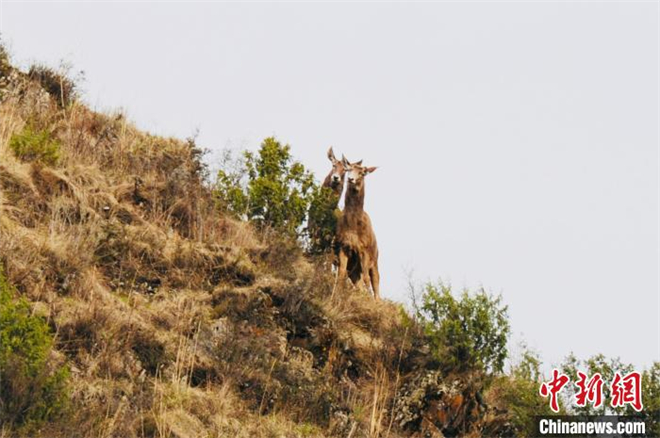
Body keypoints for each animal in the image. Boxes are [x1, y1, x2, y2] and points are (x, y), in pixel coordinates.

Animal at [336, 158, 382, 302]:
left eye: (362, 173)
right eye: (348, 169)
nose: (351, 179)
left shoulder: (364, 249)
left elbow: (368, 279)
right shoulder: (343, 246)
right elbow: (341, 273)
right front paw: (336, 296)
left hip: (375, 260)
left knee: (376, 282)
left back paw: (376, 301)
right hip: (355, 269)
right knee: (358, 283)